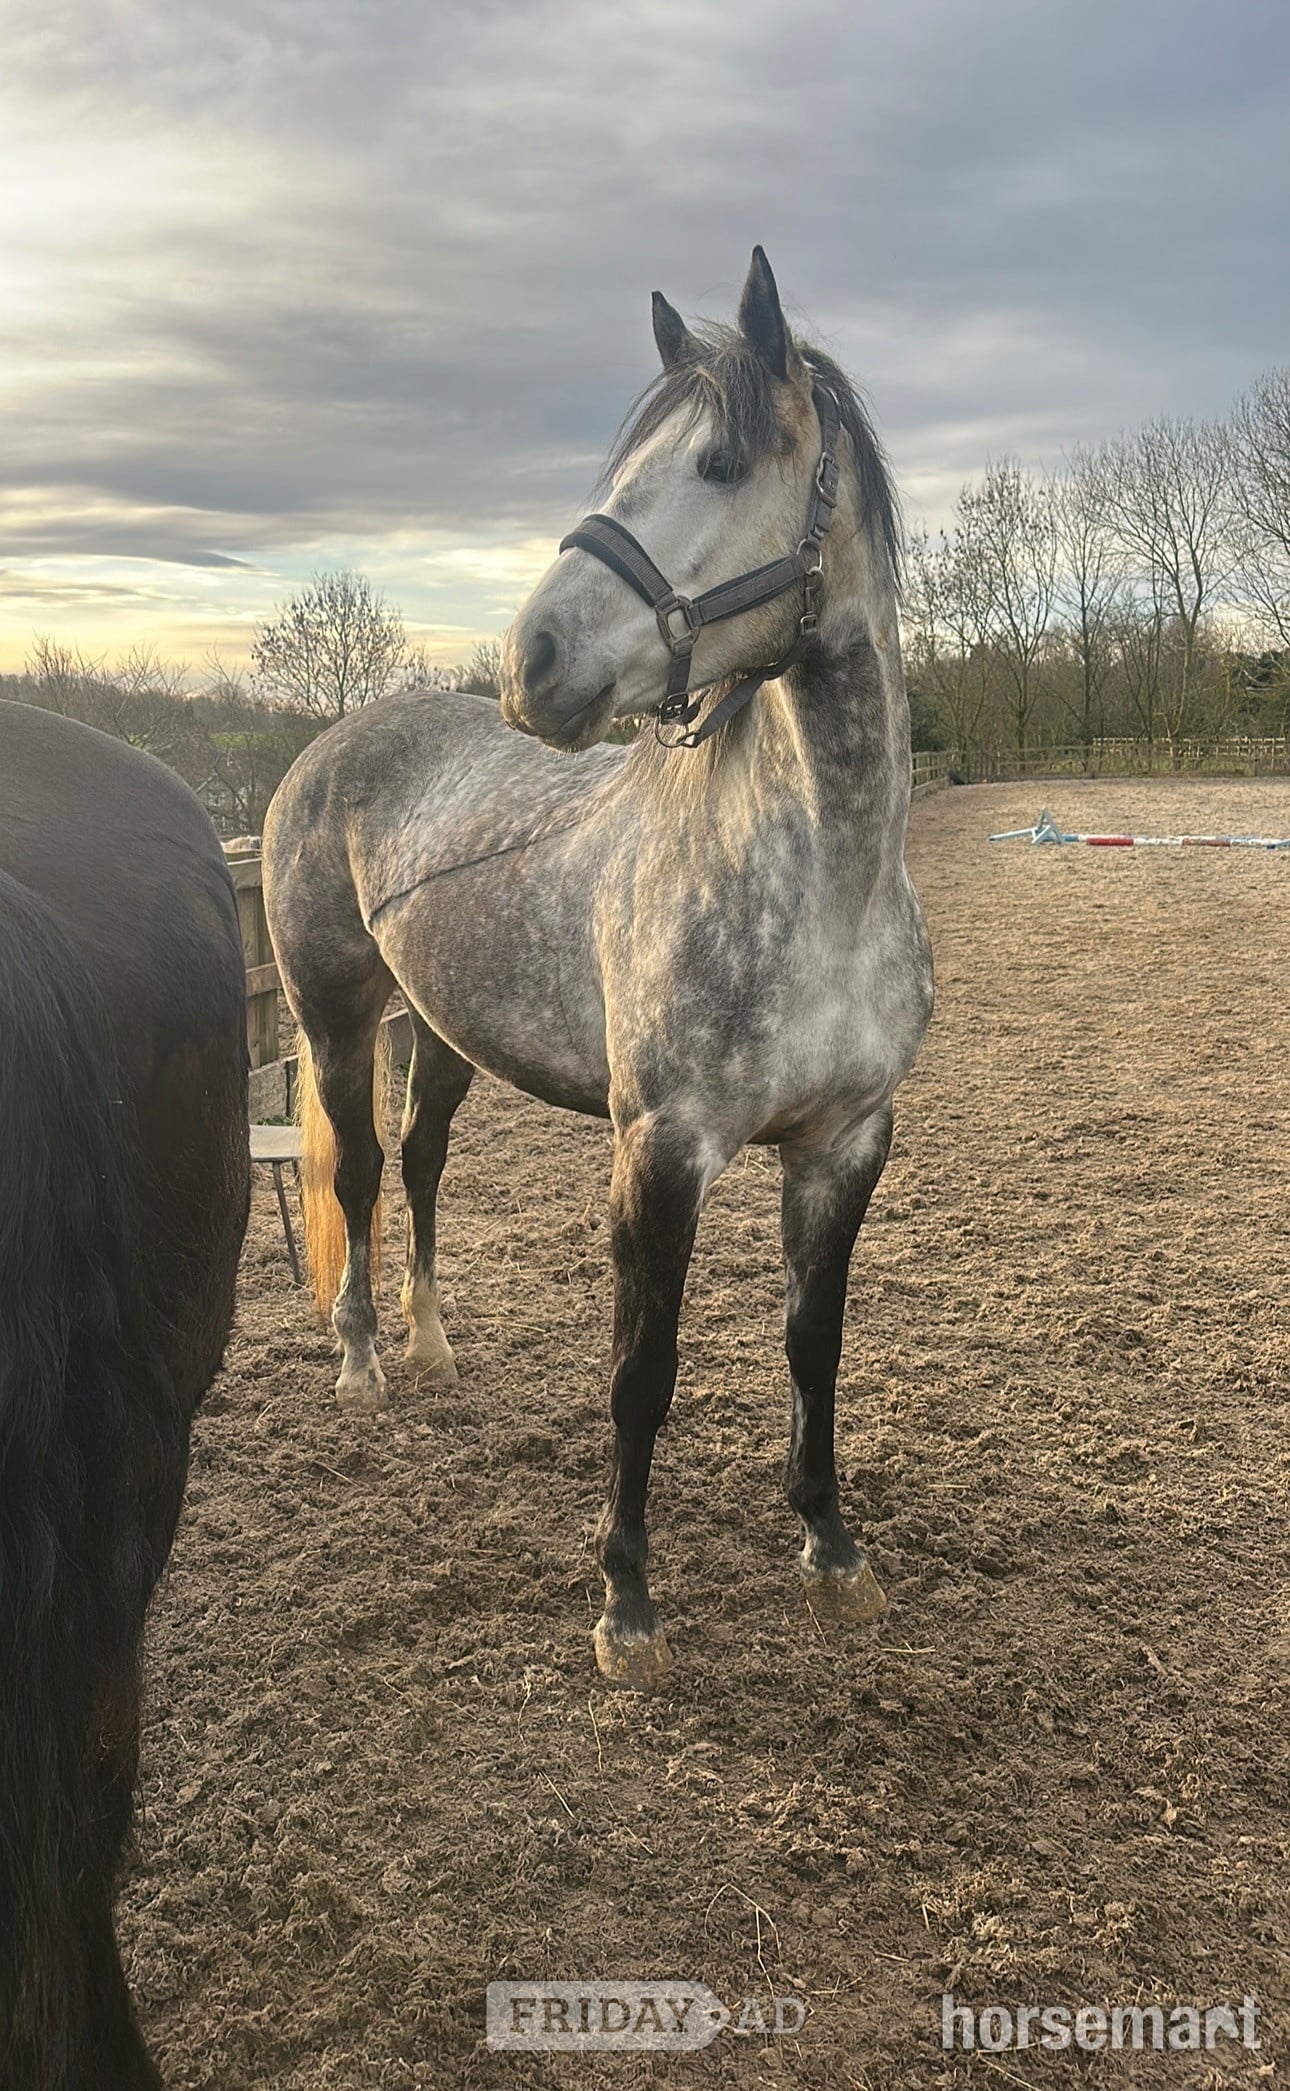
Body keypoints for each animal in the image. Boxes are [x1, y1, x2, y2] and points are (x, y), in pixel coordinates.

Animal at [263, 248, 932, 1689]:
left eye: (722, 462)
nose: (536, 662)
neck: (819, 880)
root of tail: (321, 754)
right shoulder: (661, 1151)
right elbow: (643, 1370)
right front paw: (626, 1603)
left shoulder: (846, 1140)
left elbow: (814, 1345)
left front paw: (831, 1546)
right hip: (337, 1024)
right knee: (358, 1171)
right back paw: (363, 1364)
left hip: (443, 1033)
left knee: (419, 1162)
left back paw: (433, 1343)